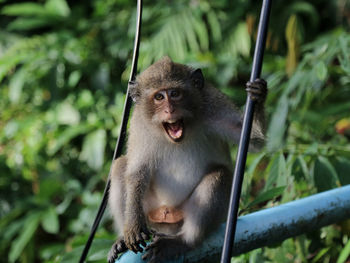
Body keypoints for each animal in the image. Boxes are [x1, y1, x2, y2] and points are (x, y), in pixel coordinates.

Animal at [108, 56, 266, 262]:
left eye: (175, 94)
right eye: (159, 97)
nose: (170, 110)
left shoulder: (212, 104)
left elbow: (254, 140)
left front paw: (259, 94)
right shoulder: (139, 123)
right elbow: (137, 171)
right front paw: (133, 226)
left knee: (219, 175)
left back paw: (183, 241)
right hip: (152, 214)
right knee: (120, 166)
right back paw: (122, 241)